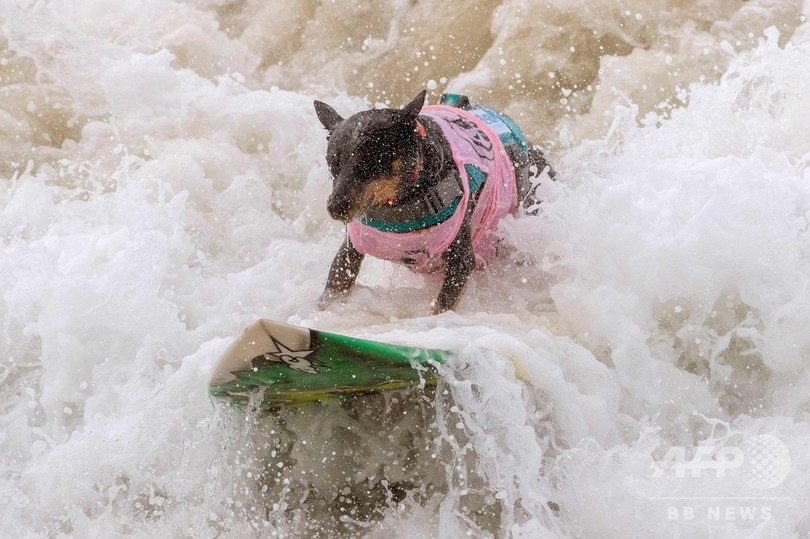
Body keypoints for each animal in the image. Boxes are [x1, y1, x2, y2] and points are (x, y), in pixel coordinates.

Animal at [312, 90, 552, 314]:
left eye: (369, 162)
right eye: (332, 162)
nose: (335, 207)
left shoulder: (461, 259)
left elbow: (443, 305)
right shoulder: (350, 250)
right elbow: (336, 283)